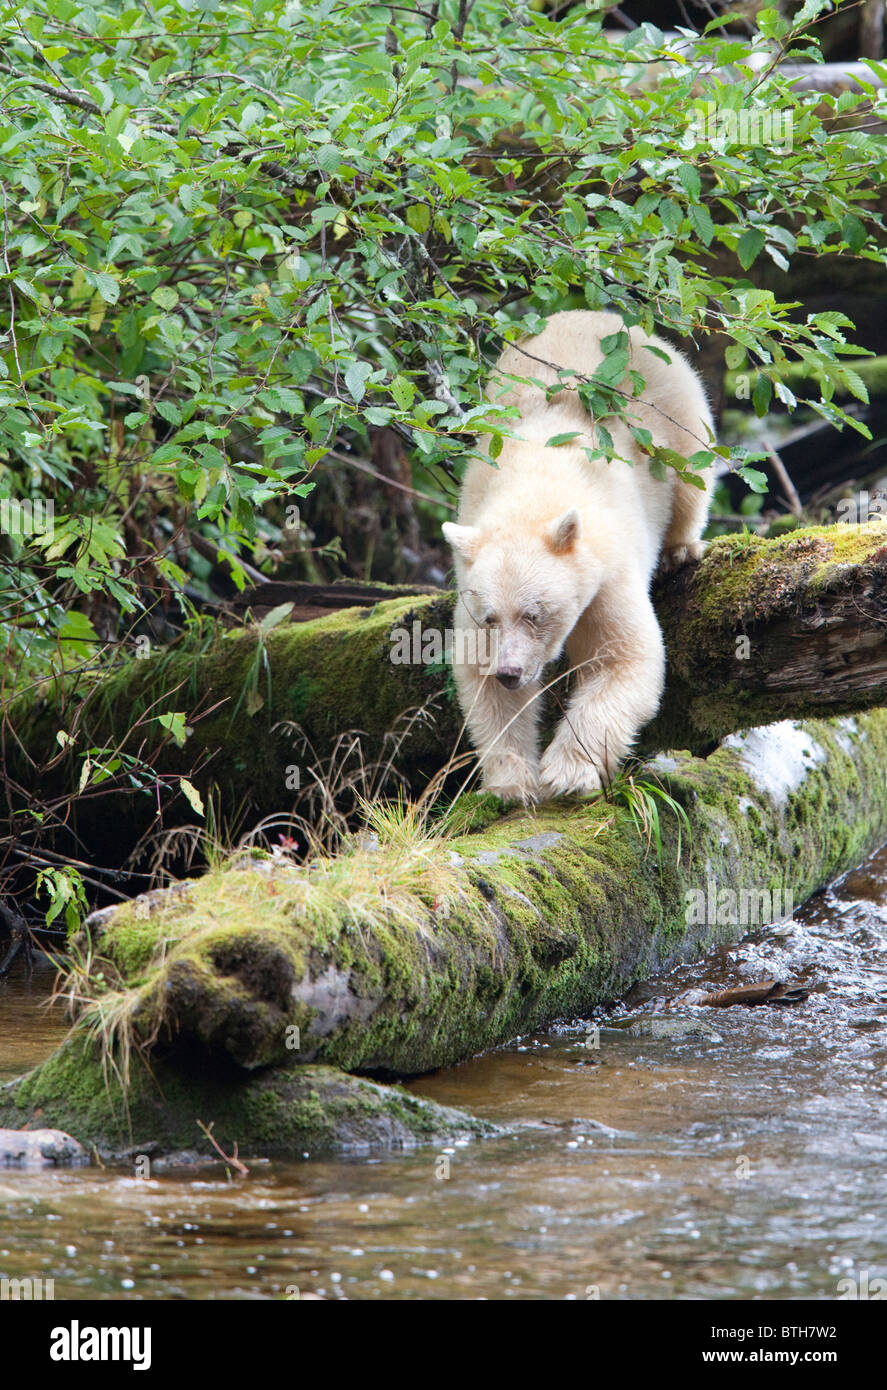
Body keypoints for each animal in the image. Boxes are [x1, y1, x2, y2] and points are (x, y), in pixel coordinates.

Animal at [442, 308, 717, 800]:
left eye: (534, 613)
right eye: (491, 617)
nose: (510, 671)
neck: (533, 488)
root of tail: (596, 314)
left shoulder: (607, 570)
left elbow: (622, 657)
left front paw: (569, 772)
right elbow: (479, 677)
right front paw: (513, 782)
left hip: (674, 412)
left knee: (691, 479)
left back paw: (680, 549)